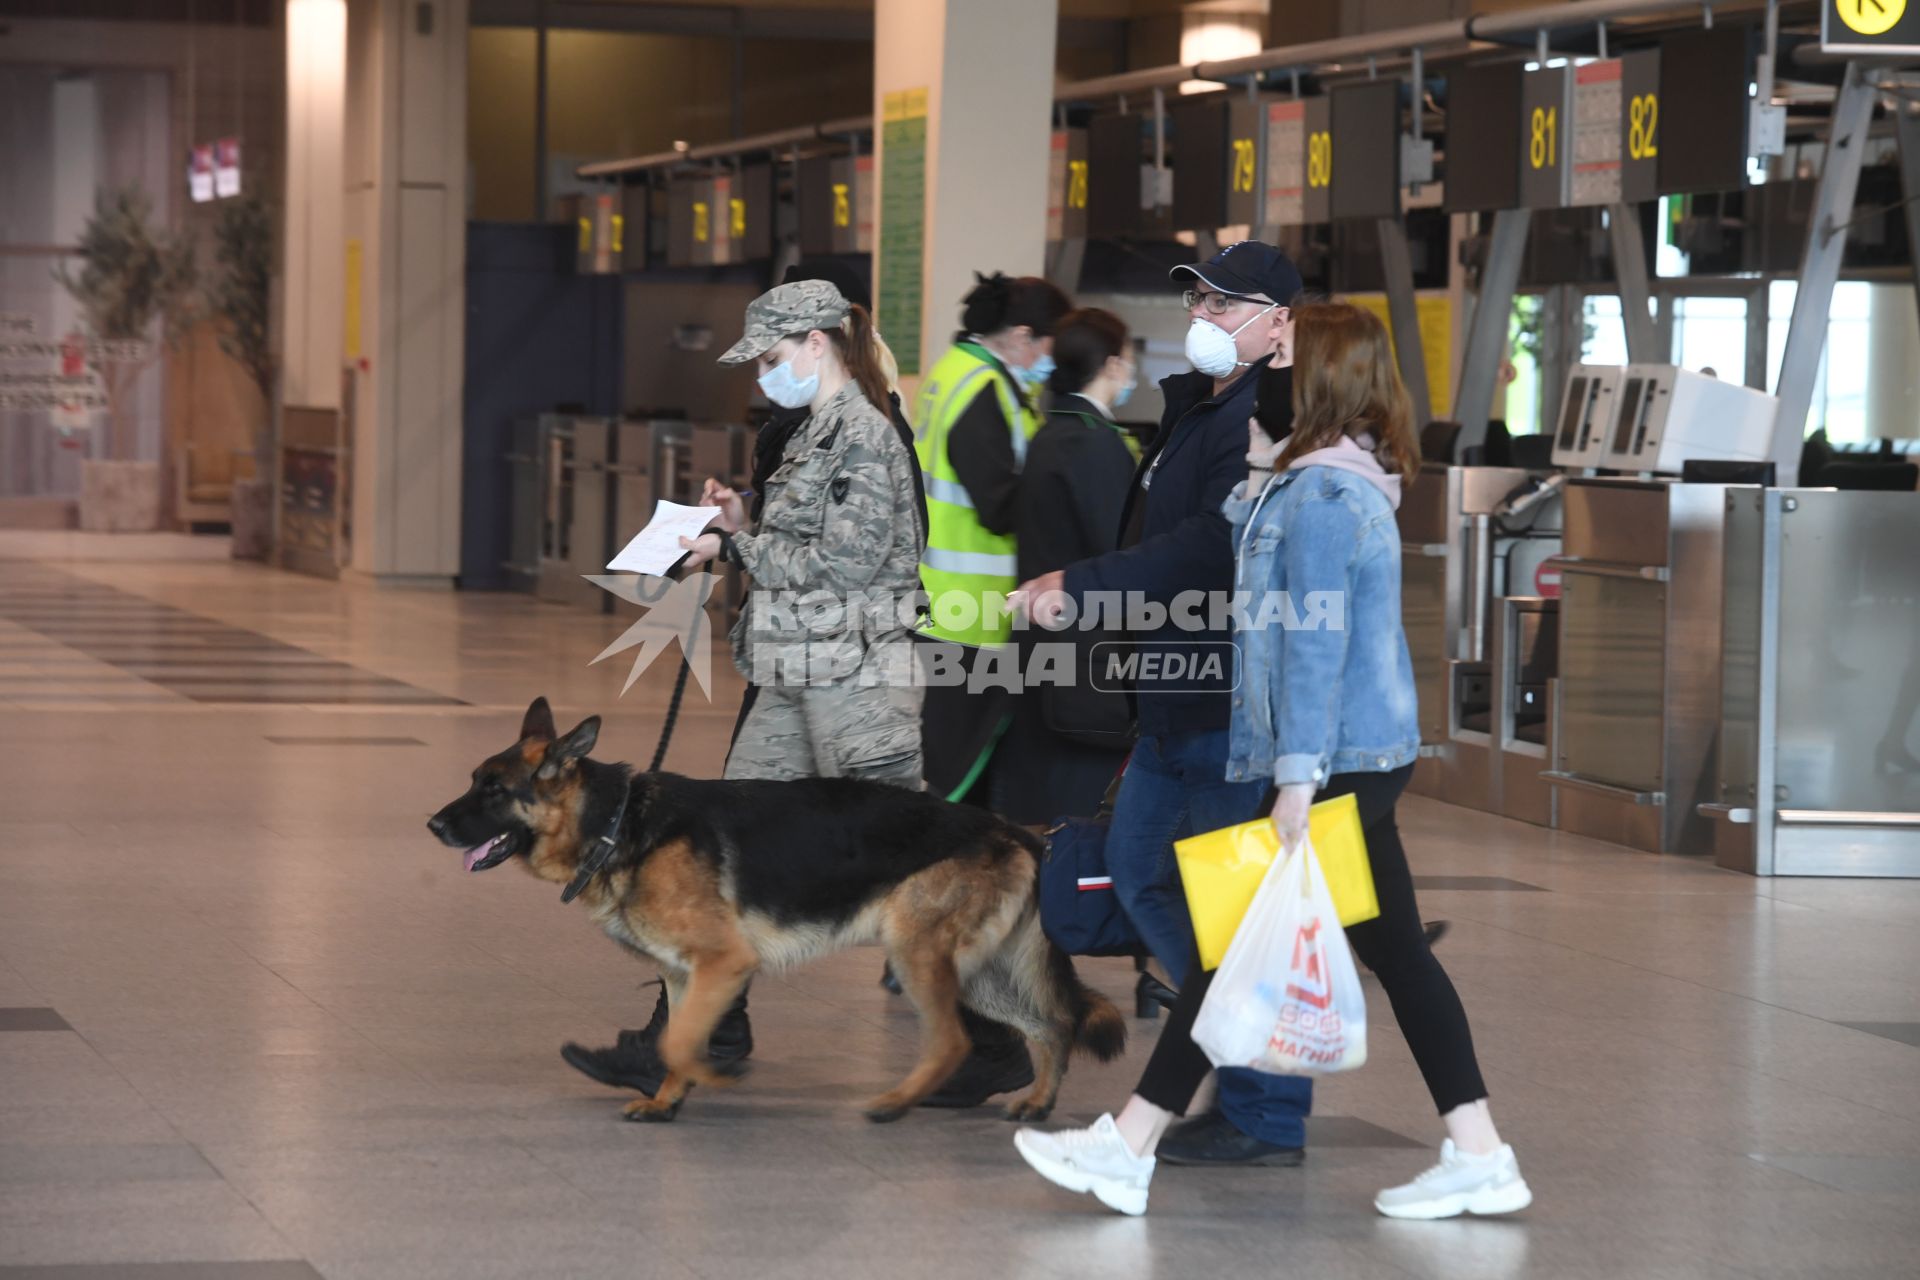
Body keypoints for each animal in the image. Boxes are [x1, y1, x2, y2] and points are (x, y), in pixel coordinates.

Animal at [432, 694, 1121, 1128]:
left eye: (494, 791)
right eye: (471, 780)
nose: (433, 824)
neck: (618, 822)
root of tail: (1012, 830)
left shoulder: (723, 963)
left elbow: (681, 1041)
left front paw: (709, 1080)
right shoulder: (684, 974)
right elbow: (673, 1038)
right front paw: (668, 1100)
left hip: (917, 955)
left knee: (956, 1039)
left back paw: (896, 1102)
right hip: (975, 972)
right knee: (1051, 1026)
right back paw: (1034, 1102)